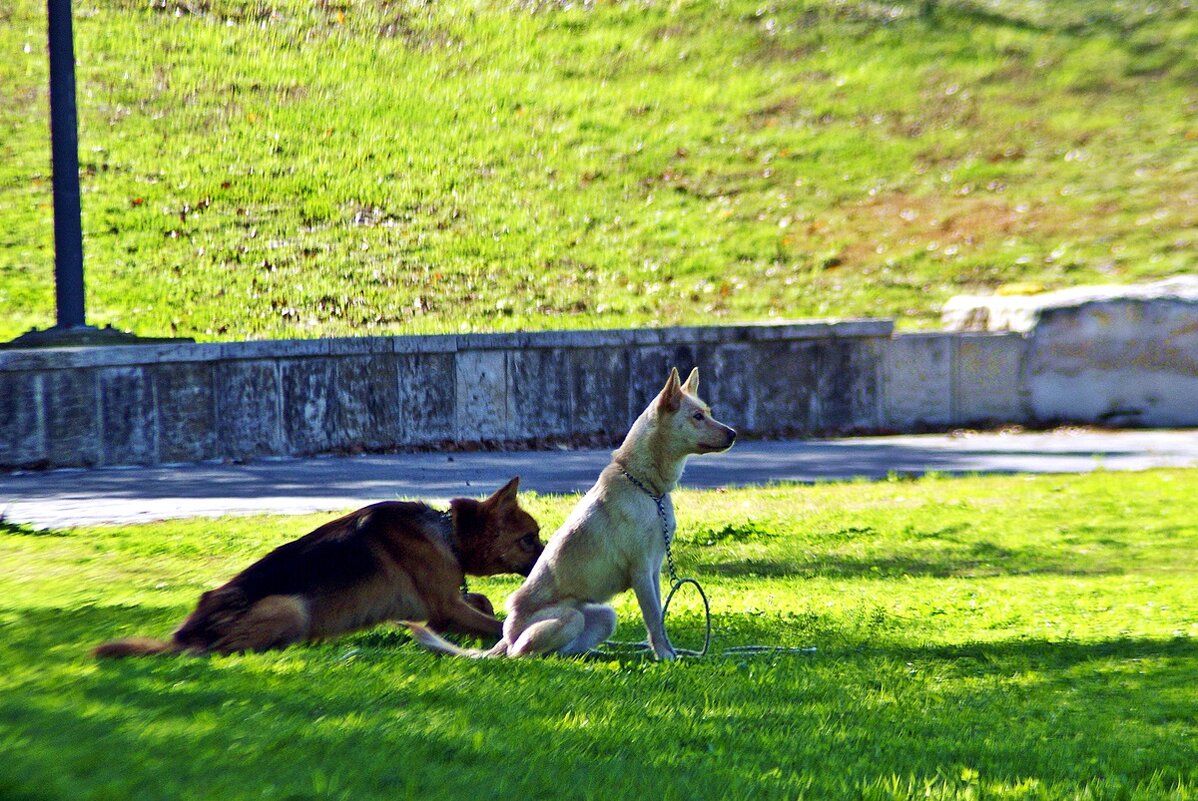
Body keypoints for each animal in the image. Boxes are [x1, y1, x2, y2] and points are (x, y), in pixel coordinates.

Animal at [93, 474, 543, 656]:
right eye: (530, 538)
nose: (549, 556)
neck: (447, 533)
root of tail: (184, 635)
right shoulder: (445, 609)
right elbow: (492, 621)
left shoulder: (445, 606)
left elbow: (482, 601)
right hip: (289, 606)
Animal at [407, 366, 733, 660]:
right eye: (697, 417)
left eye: (708, 412)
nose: (733, 433)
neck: (645, 486)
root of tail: (506, 636)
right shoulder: (641, 570)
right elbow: (653, 618)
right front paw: (665, 656)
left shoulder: (653, 570)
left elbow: (660, 619)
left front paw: (667, 651)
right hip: (566, 620)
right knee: (522, 654)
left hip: (604, 616)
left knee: (565, 649)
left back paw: (594, 654)